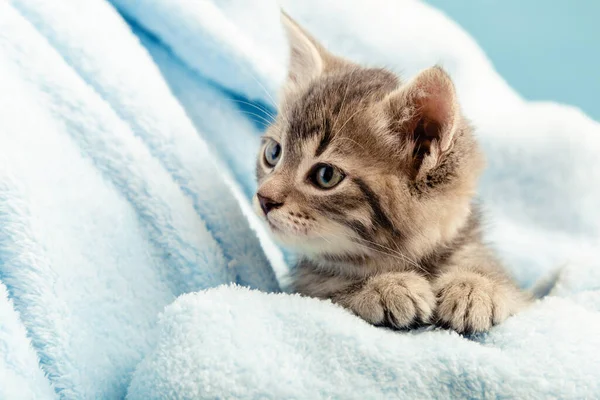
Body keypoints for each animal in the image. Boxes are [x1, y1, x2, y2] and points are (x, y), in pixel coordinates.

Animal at [253, 12, 528, 332]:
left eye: (325, 175)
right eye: (273, 153)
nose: (263, 198)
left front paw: (476, 286)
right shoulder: (306, 287)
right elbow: (330, 291)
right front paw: (385, 286)